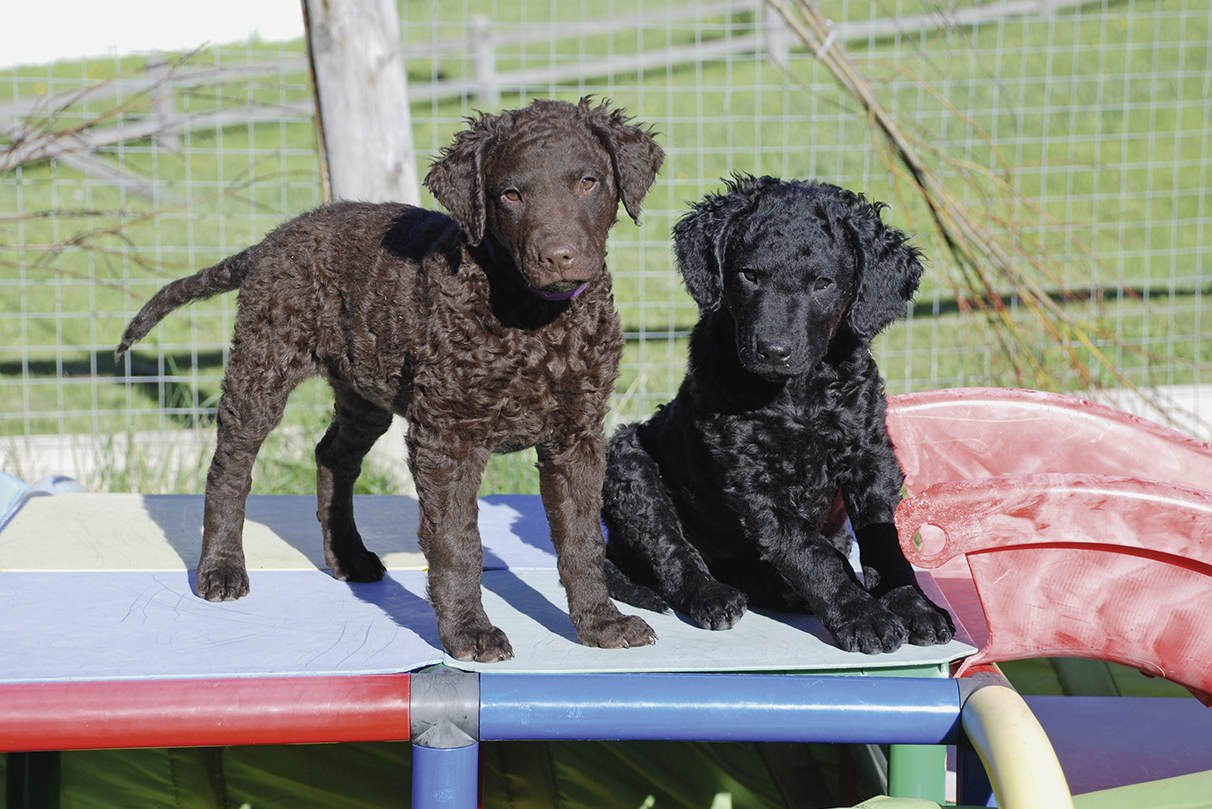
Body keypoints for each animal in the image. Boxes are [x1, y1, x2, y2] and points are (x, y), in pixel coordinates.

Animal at [115, 98, 664, 659]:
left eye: (588, 181)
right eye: (510, 194)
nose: (557, 256)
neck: (532, 319)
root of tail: (272, 240)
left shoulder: (577, 436)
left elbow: (582, 539)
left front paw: (600, 622)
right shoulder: (447, 437)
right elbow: (457, 543)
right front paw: (469, 631)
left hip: (364, 389)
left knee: (332, 458)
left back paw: (349, 557)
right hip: (262, 368)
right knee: (230, 468)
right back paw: (222, 568)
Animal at [601, 174, 950, 654]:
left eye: (822, 283)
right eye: (749, 275)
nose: (772, 350)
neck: (798, 395)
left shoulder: (871, 455)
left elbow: (886, 542)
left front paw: (913, 606)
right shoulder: (753, 479)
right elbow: (810, 551)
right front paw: (862, 615)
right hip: (629, 458)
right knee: (671, 551)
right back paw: (710, 594)